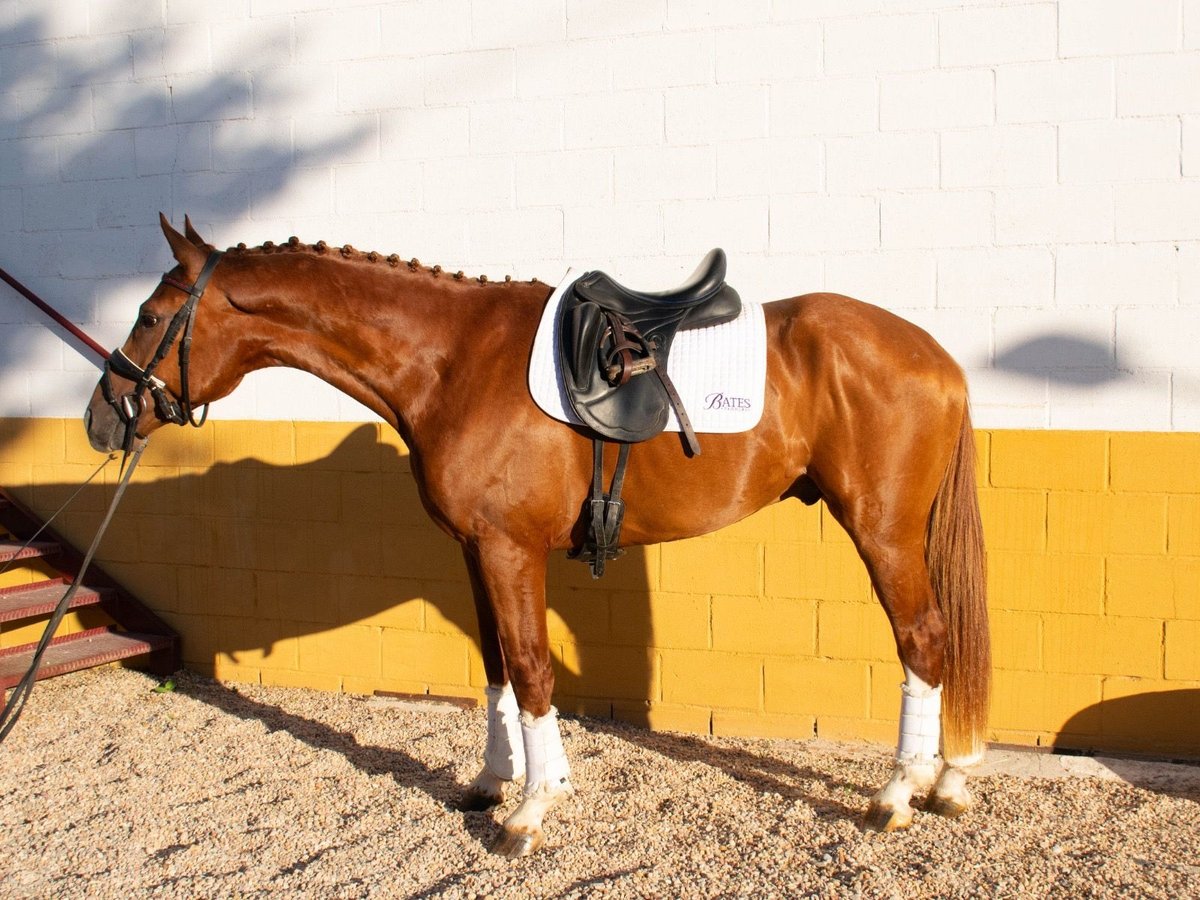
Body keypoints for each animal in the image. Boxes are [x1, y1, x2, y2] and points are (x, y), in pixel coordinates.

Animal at [85, 215, 990, 858]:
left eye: (151, 316)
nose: (102, 416)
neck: (450, 361)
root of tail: (936, 354)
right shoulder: (473, 551)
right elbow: (495, 665)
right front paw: (497, 781)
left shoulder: (507, 548)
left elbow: (529, 666)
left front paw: (531, 809)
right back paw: (948, 781)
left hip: (881, 531)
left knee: (923, 637)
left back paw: (898, 796)